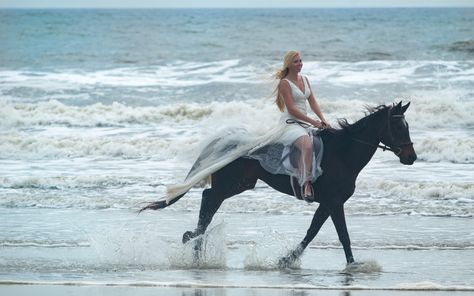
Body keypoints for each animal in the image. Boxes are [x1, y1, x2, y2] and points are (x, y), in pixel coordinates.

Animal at [140, 102, 414, 266]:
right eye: (398, 126)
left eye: (407, 125)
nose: (411, 157)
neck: (343, 154)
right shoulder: (333, 202)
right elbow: (335, 234)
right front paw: (289, 259)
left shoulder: (330, 202)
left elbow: (319, 231)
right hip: (228, 184)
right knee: (209, 200)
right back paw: (194, 242)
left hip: (241, 184)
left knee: (208, 199)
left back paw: (195, 243)